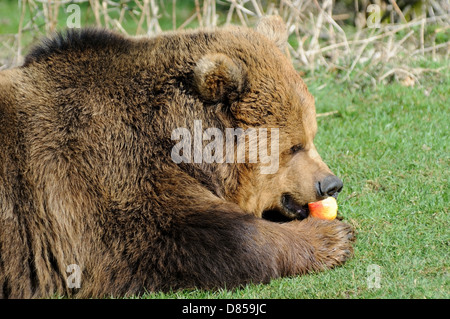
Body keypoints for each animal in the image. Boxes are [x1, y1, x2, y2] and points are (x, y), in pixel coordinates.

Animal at [0, 16, 354, 298]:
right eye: (293, 146)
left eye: (311, 134)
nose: (331, 184)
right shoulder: (103, 174)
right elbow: (189, 237)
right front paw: (332, 237)